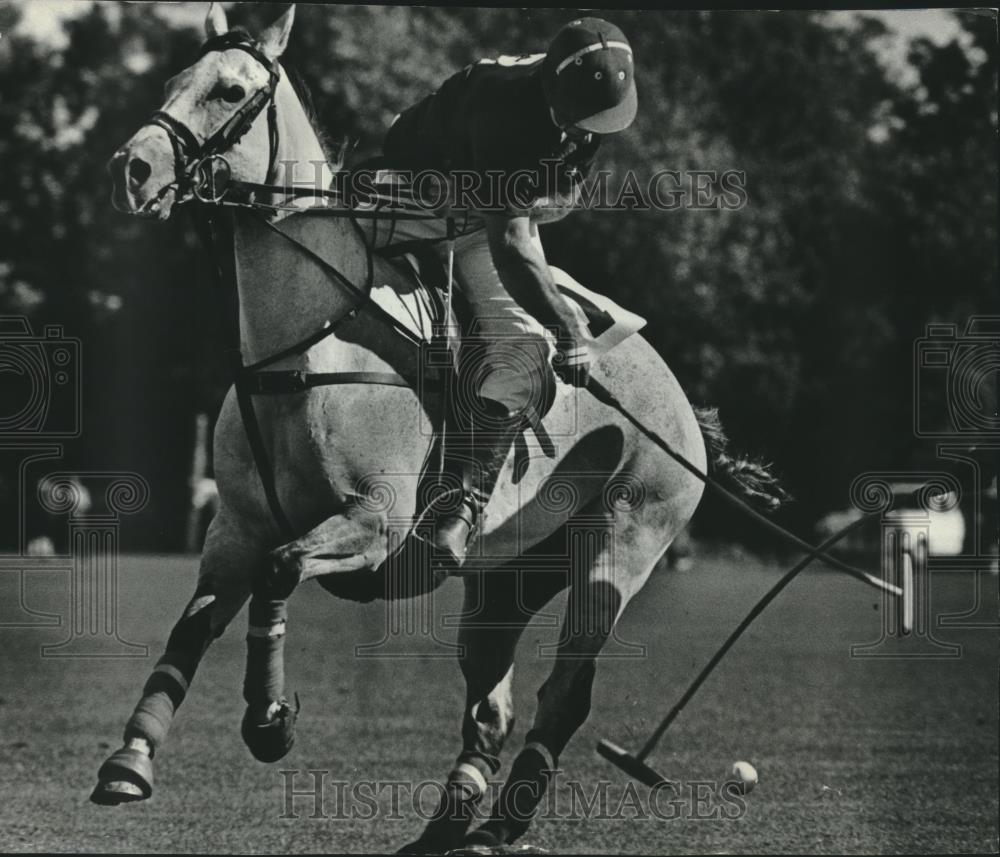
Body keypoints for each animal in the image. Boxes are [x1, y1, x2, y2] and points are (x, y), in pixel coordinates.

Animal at [94, 5, 780, 848]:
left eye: (229, 89)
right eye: (171, 79)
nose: (132, 169)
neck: (305, 342)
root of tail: (684, 407)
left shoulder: (375, 520)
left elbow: (281, 571)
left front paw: (270, 719)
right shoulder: (234, 526)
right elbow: (193, 626)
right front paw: (130, 759)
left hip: (624, 542)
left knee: (568, 687)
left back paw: (502, 821)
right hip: (508, 572)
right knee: (493, 695)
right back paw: (453, 815)